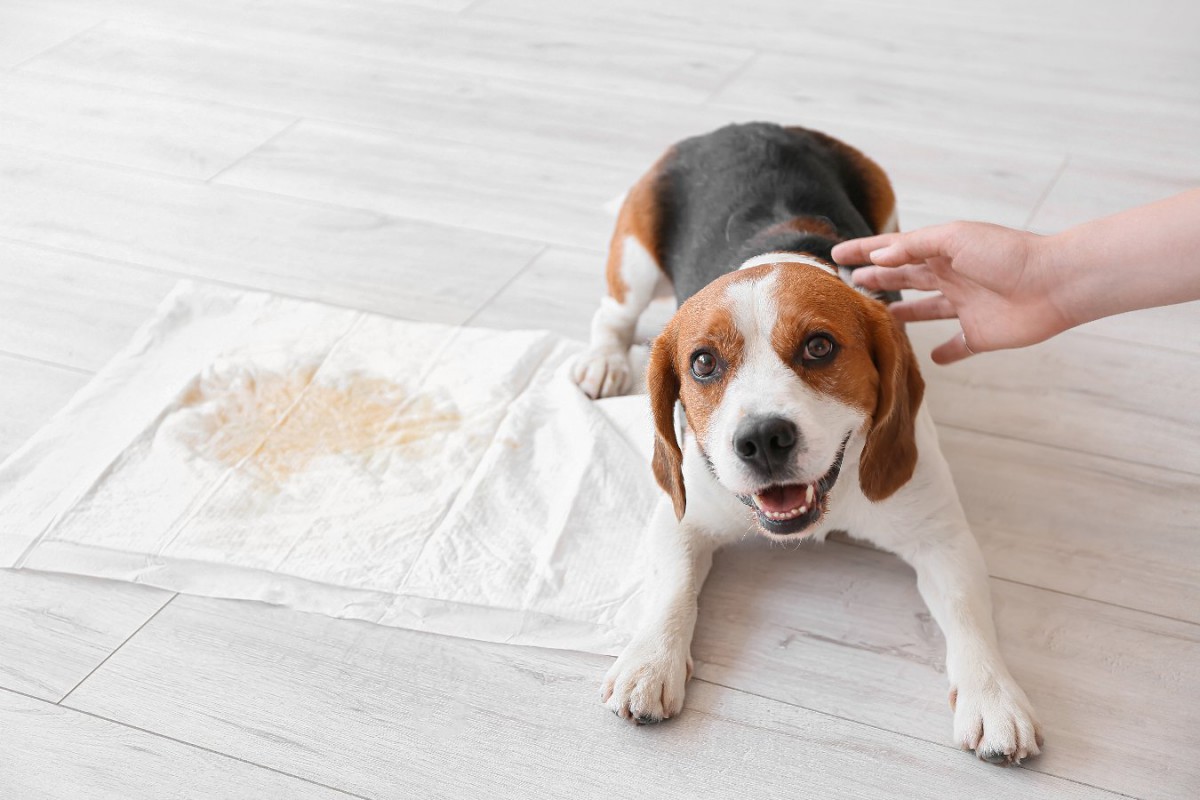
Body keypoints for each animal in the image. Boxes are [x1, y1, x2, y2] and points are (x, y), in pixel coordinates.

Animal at [571, 123, 1041, 762]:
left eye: (820, 346)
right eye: (702, 363)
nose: (763, 439)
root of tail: (744, 127)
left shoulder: (941, 537)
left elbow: (969, 614)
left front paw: (993, 698)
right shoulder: (682, 519)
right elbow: (672, 589)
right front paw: (650, 662)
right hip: (635, 260)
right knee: (611, 316)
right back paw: (603, 360)